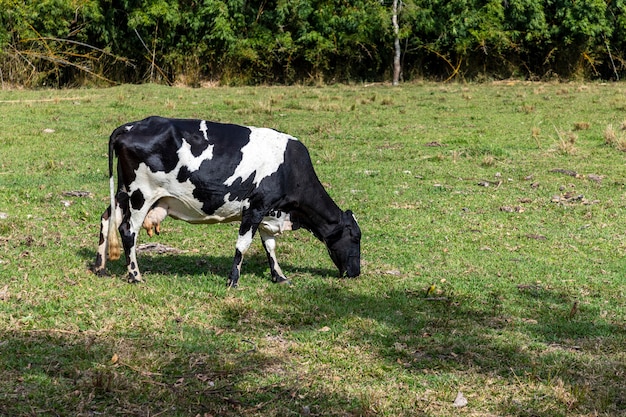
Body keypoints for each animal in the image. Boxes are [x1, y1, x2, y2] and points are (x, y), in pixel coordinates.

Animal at [90, 116, 358, 286]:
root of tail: (132, 125)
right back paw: (135, 276)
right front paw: (233, 281)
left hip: (123, 192)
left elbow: (270, 246)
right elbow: (243, 245)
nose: (356, 272)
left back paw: (99, 267)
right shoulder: (255, 207)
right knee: (128, 230)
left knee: (106, 218)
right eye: (356, 237)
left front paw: (280, 277)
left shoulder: (268, 212)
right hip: (140, 194)